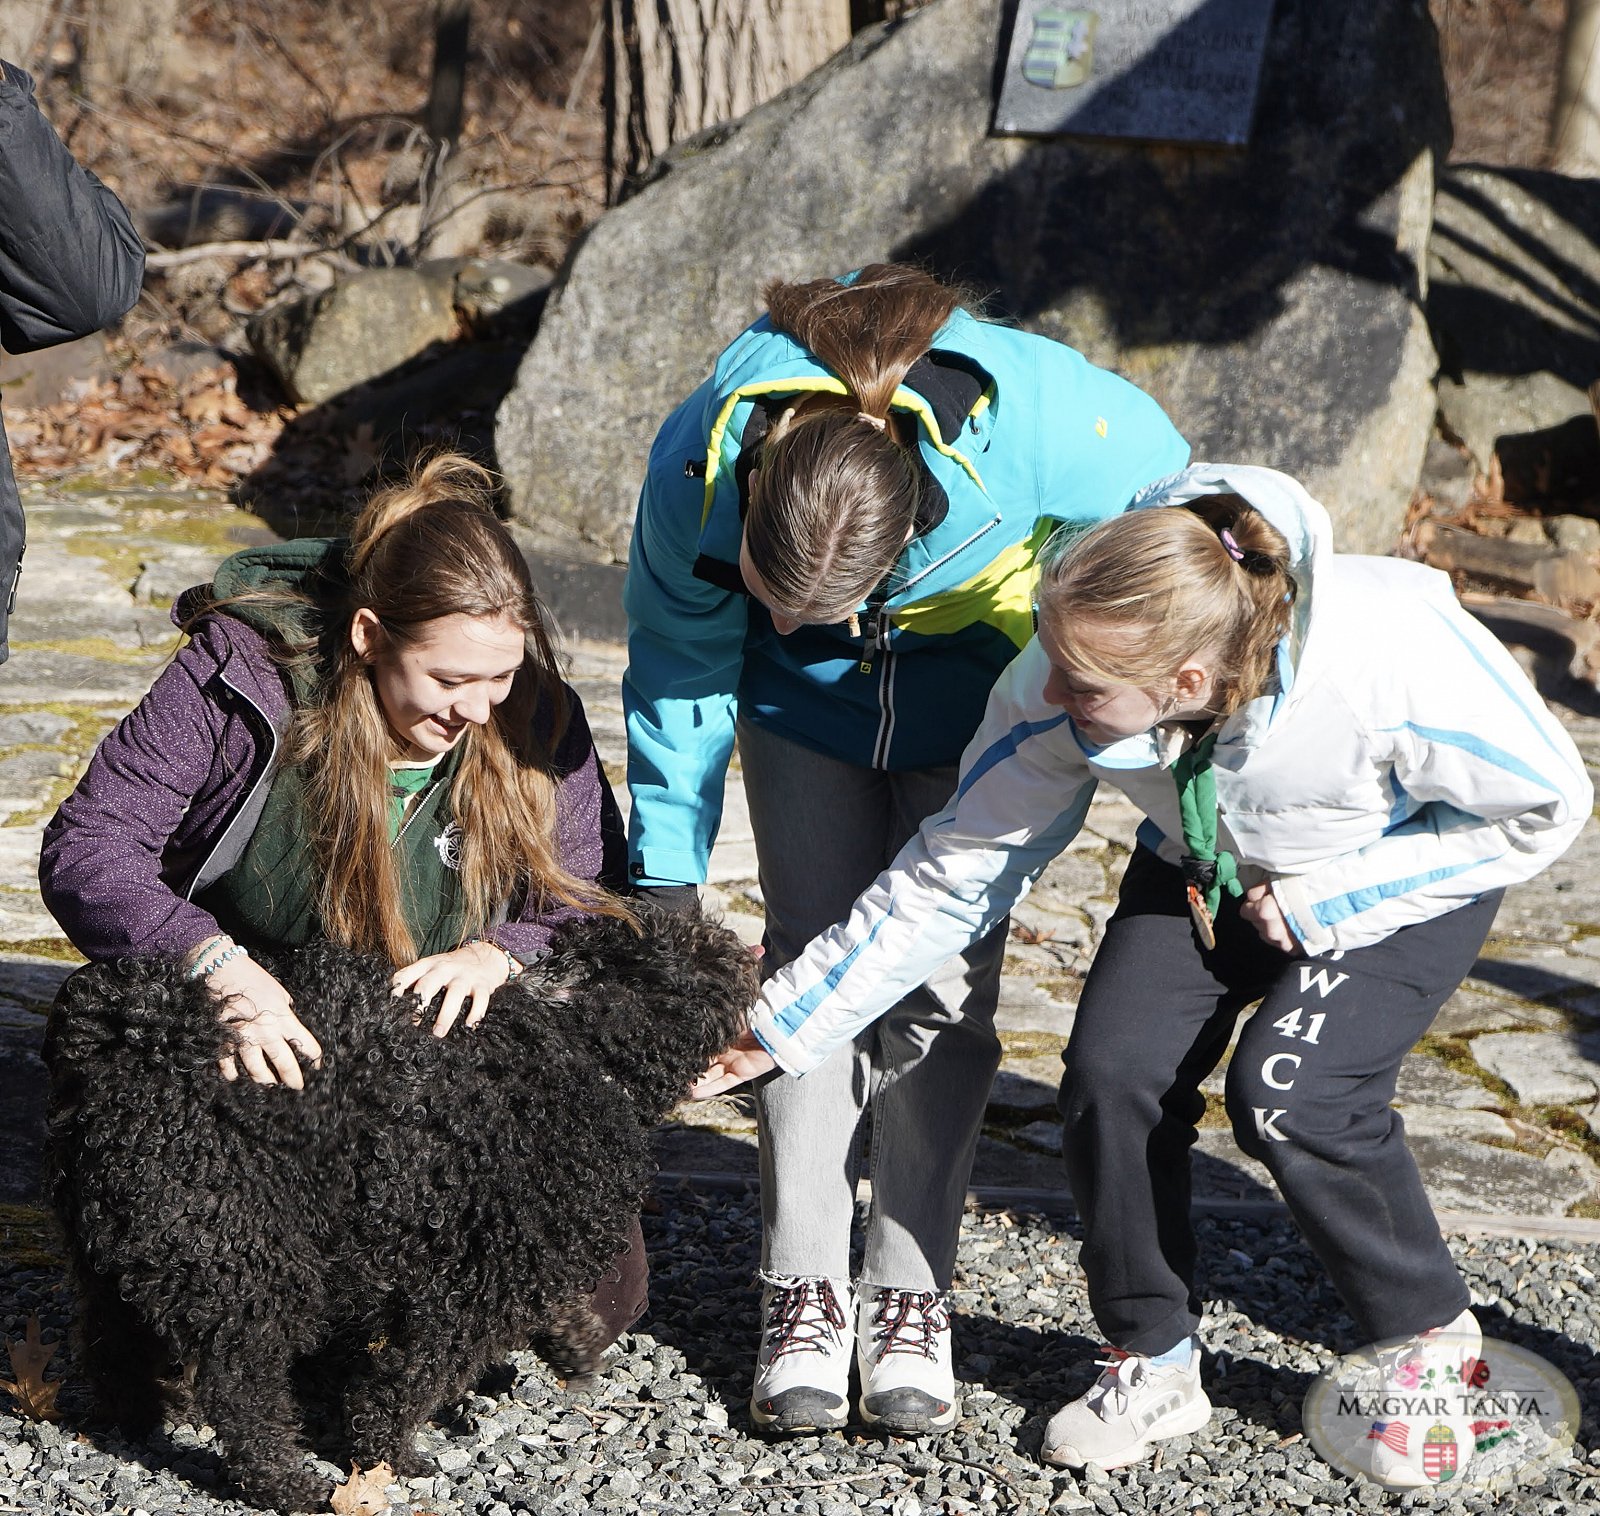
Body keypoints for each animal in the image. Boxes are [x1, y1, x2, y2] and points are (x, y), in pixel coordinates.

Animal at [43, 908, 755, 1509]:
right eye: (691, 961)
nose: (747, 954)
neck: (577, 1043)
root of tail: (144, 1042)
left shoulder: (518, 1246)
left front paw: (573, 1344)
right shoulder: (473, 1277)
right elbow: (416, 1375)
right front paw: (391, 1452)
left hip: (130, 1241)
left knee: (114, 1342)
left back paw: (140, 1419)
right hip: (242, 1251)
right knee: (242, 1384)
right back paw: (284, 1482)